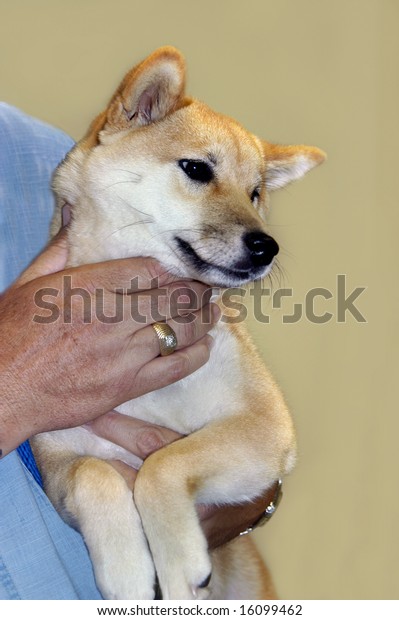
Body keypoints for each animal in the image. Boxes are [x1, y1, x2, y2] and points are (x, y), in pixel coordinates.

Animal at [30, 46, 324, 600]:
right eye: (197, 169)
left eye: (255, 193)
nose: (266, 246)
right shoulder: (55, 458)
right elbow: (92, 475)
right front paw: (126, 571)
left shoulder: (264, 425)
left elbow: (165, 465)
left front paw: (179, 562)